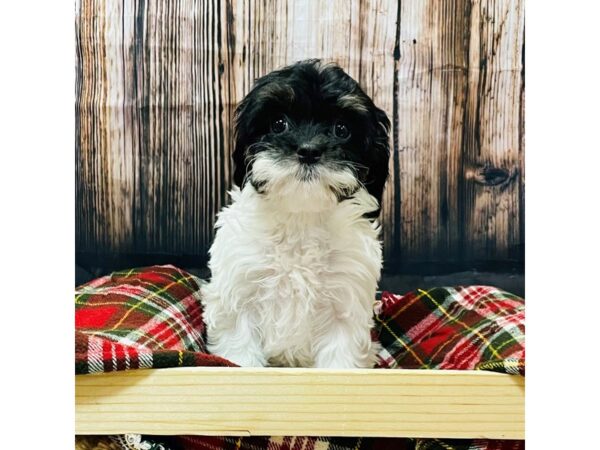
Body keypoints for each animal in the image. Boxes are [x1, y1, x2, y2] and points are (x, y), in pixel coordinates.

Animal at [200, 59, 390, 370]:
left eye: (341, 129)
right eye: (279, 124)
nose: (308, 150)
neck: (301, 214)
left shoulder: (345, 302)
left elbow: (340, 360)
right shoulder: (239, 292)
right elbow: (241, 353)